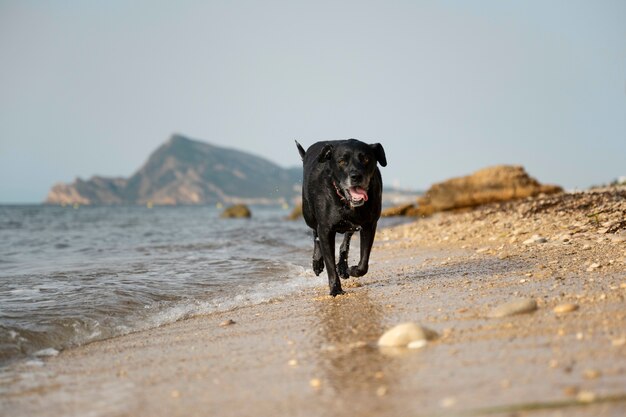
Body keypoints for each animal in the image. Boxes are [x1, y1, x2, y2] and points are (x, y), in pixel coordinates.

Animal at [294, 138, 386, 294]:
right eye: (342, 161)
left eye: (366, 158)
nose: (356, 176)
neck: (345, 201)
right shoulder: (326, 230)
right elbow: (330, 263)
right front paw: (336, 290)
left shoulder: (369, 225)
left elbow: (364, 262)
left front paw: (352, 270)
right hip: (308, 215)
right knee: (315, 233)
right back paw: (317, 262)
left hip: (351, 226)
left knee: (345, 241)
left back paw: (343, 267)